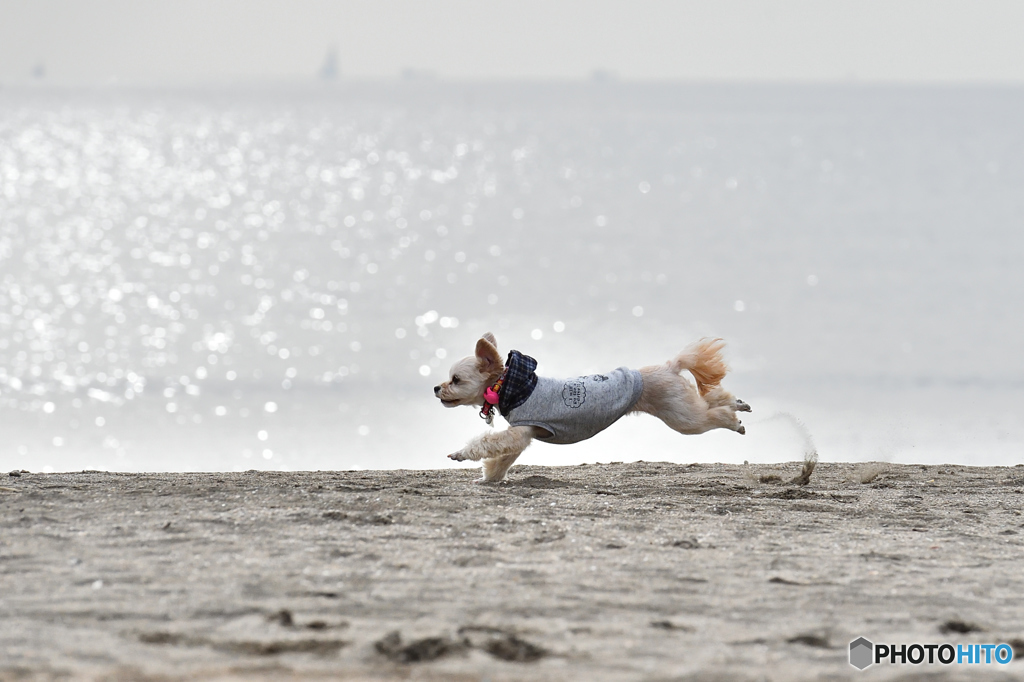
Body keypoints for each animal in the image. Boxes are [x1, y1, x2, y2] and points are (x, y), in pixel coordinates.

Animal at [434, 331, 753, 481]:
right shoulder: (524, 434)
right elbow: (504, 457)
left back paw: (734, 422)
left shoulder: (521, 429)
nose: (436, 388)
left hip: (681, 416)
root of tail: (669, 366)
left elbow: (488, 442)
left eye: (456, 379)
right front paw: (491, 478)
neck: (513, 384)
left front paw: (460, 454)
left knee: (712, 416)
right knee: (713, 400)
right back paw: (738, 404)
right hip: (683, 404)